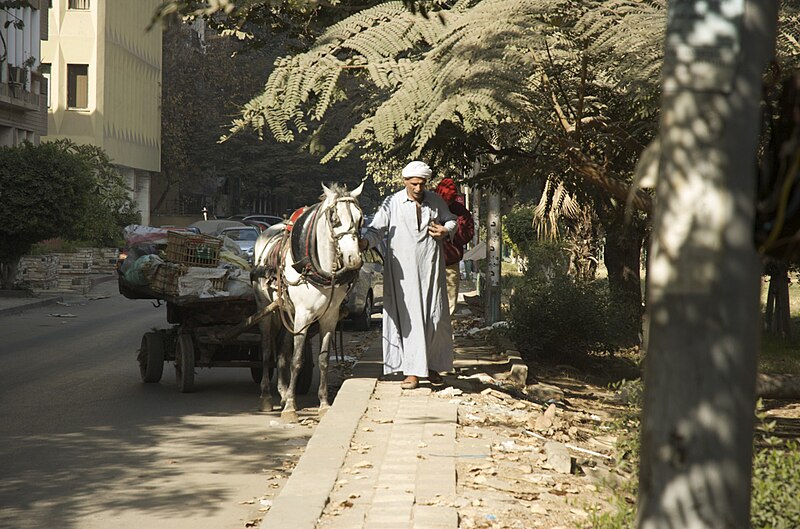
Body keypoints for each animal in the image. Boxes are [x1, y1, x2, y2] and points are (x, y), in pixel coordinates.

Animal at [252, 183, 364, 420]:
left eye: (360, 218)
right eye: (334, 218)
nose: (354, 259)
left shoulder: (329, 318)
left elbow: (322, 359)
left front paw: (323, 404)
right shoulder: (304, 316)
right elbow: (297, 360)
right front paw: (290, 408)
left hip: (288, 313)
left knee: (282, 349)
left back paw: (283, 391)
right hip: (265, 310)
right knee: (266, 349)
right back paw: (267, 397)